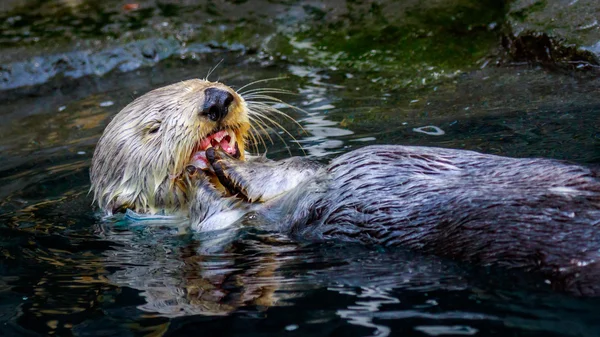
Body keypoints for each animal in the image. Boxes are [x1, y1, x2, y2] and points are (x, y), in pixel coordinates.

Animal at [89, 79, 600, 294]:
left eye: (205, 81)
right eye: (154, 128)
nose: (216, 101)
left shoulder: (296, 173)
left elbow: (293, 166)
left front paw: (226, 164)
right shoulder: (214, 230)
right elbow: (215, 215)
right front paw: (208, 173)